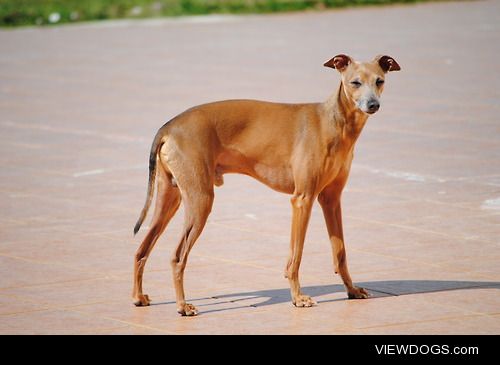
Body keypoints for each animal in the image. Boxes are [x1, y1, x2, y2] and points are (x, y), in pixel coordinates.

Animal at [131, 54, 400, 316]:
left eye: (379, 81)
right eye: (355, 82)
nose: (373, 105)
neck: (334, 122)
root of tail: (169, 127)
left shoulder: (331, 200)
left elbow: (340, 253)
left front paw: (352, 290)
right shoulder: (302, 199)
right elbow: (295, 256)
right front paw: (298, 298)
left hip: (170, 199)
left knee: (141, 249)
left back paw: (138, 297)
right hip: (200, 201)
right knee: (177, 257)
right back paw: (182, 306)